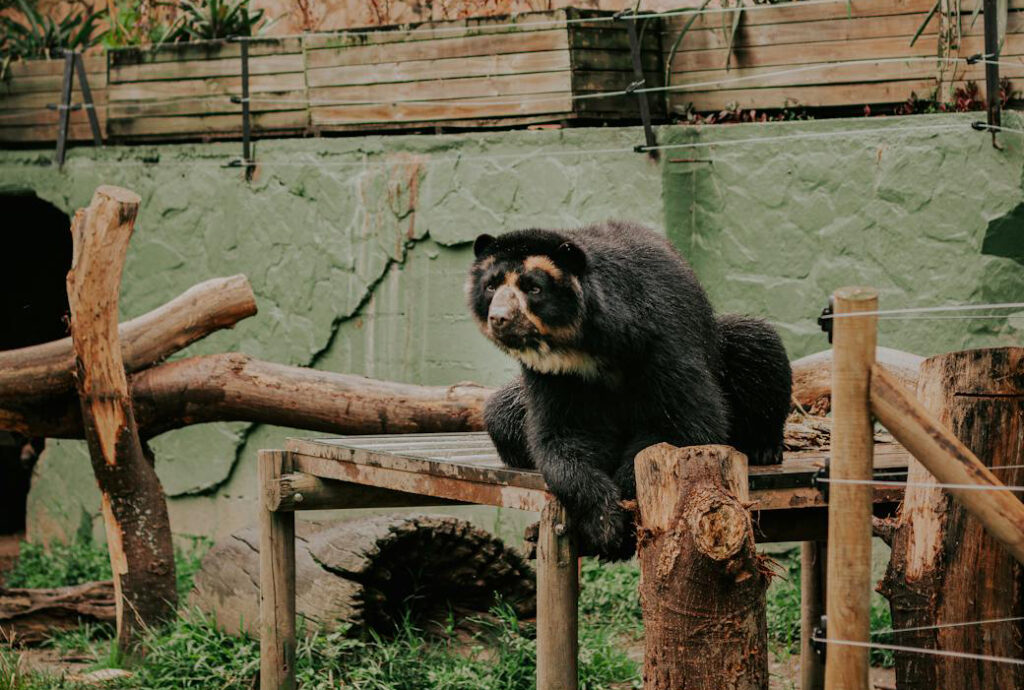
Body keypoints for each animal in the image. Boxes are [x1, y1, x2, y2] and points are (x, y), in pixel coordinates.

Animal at [467, 221, 792, 559]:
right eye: (491, 286)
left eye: (533, 288)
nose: (499, 318)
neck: (585, 347)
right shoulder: (554, 375)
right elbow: (563, 435)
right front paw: (604, 523)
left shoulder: (662, 338)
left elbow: (683, 421)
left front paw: (624, 508)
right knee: (500, 413)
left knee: (757, 342)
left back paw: (763, 447)